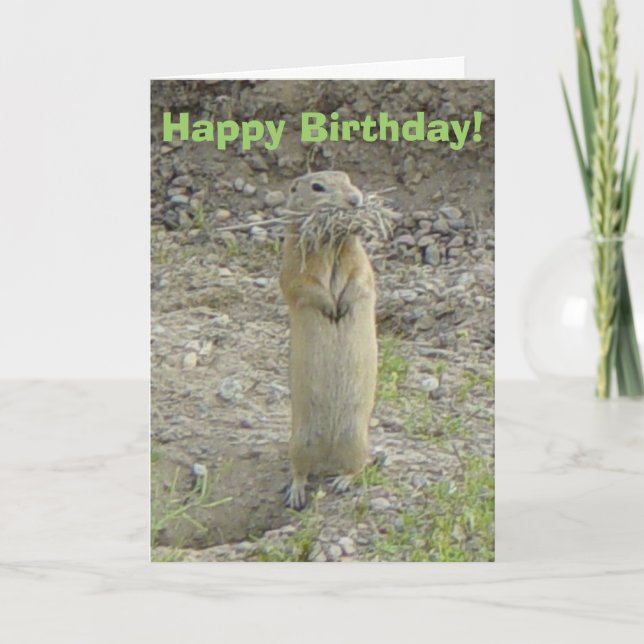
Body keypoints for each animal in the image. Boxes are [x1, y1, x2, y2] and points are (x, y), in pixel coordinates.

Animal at [279, 171, 378, 510]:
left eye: (349, 178)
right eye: (317, 187)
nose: (355, 200)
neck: (333, 242)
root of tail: (327, 460)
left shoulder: (360, 259)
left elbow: (361, 278)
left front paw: (341, 307)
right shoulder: (294, 261)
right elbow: (304, 285)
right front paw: (331, 308)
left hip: (357, 439)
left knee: (357, 467)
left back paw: (341, 482)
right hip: (299, 441)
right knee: (299, 470)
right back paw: (296, 494)